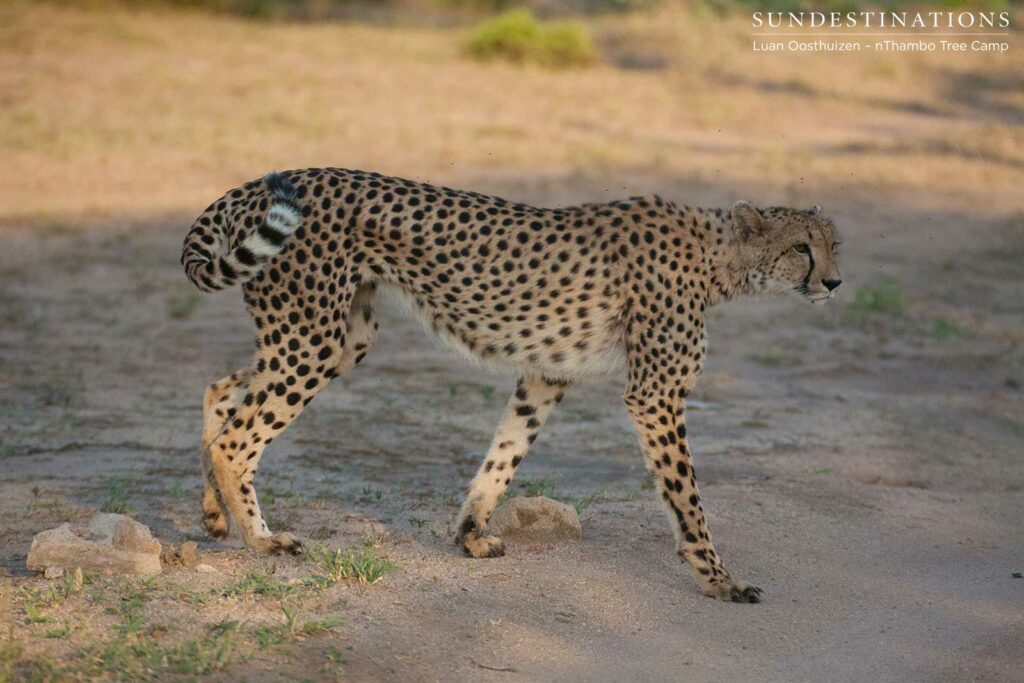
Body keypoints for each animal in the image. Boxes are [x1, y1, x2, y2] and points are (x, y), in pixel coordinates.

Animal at [181, 167, 841, 603]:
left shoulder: (546, 374)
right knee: (238, 439)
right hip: (312, 338)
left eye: (835, 246)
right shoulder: (655, 395)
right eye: (801, 248)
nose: (834, 283)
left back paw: (215, 517)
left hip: (339, 340)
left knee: (220, 391)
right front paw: (718, 578)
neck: (718, 257)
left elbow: (505, 454)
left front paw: (471, 535)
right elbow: (687, 498)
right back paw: (262, 541)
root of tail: (258, 184)